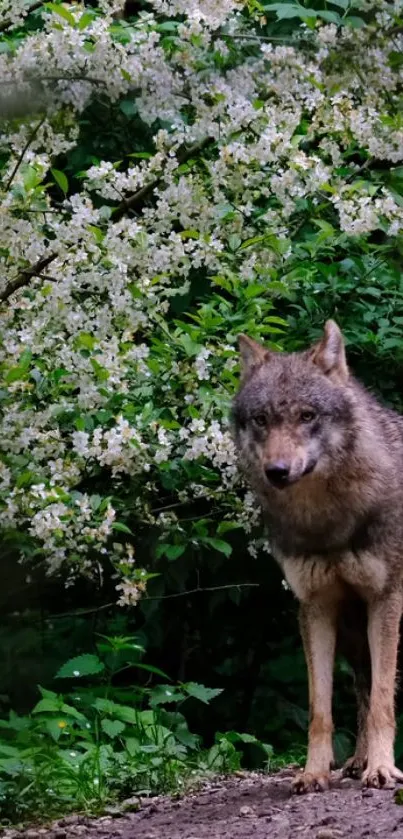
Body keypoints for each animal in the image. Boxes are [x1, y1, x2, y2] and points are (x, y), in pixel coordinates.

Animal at [232, 320, 403, 796]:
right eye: (262, 420)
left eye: (307, 416)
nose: (277, 471)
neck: (327, 520)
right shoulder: (316, 607)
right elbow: (321, 709)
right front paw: (314, 772)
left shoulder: (386, 600)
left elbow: (383, 702)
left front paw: (383, 769)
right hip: (353, 634)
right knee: (361, 689)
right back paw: (357, 761)